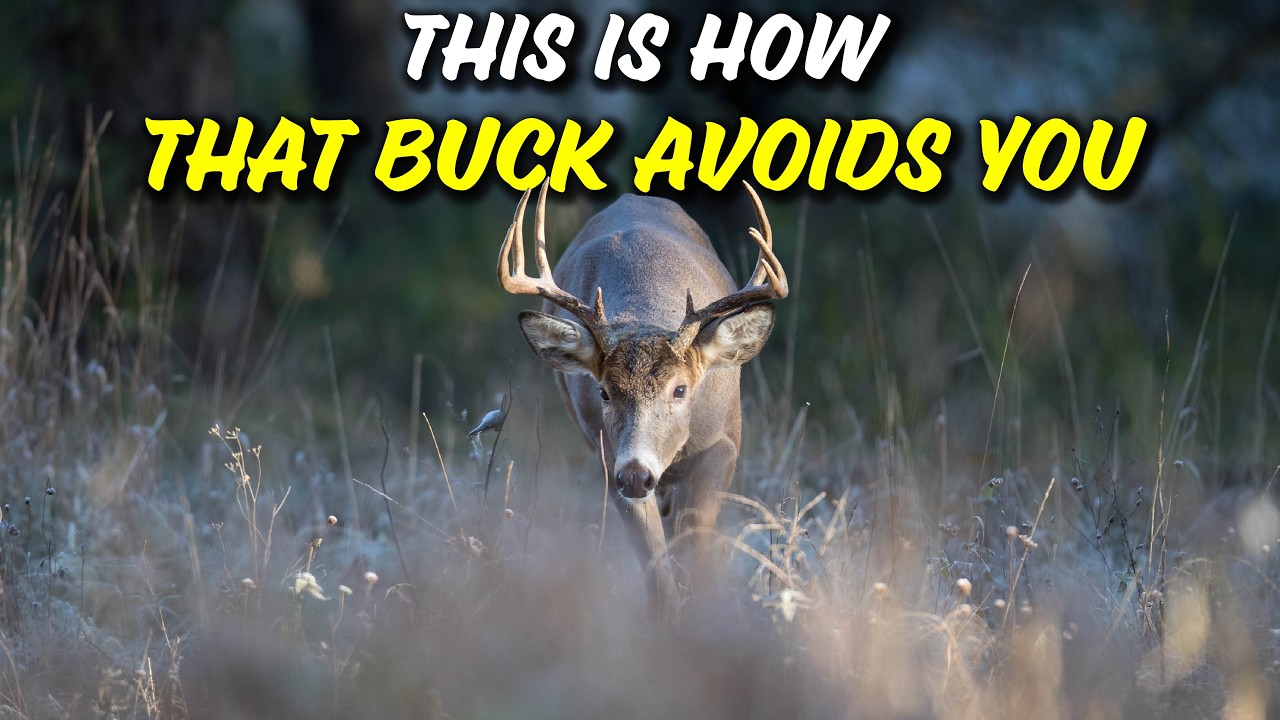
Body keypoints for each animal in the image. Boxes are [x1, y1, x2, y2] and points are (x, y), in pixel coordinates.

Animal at [496, 180, 787, 617]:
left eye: (680, 389)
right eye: (603, 391)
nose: (636, 473)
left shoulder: (724, 444)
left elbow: (696, 546)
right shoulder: (608, 460)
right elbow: (656, 568)